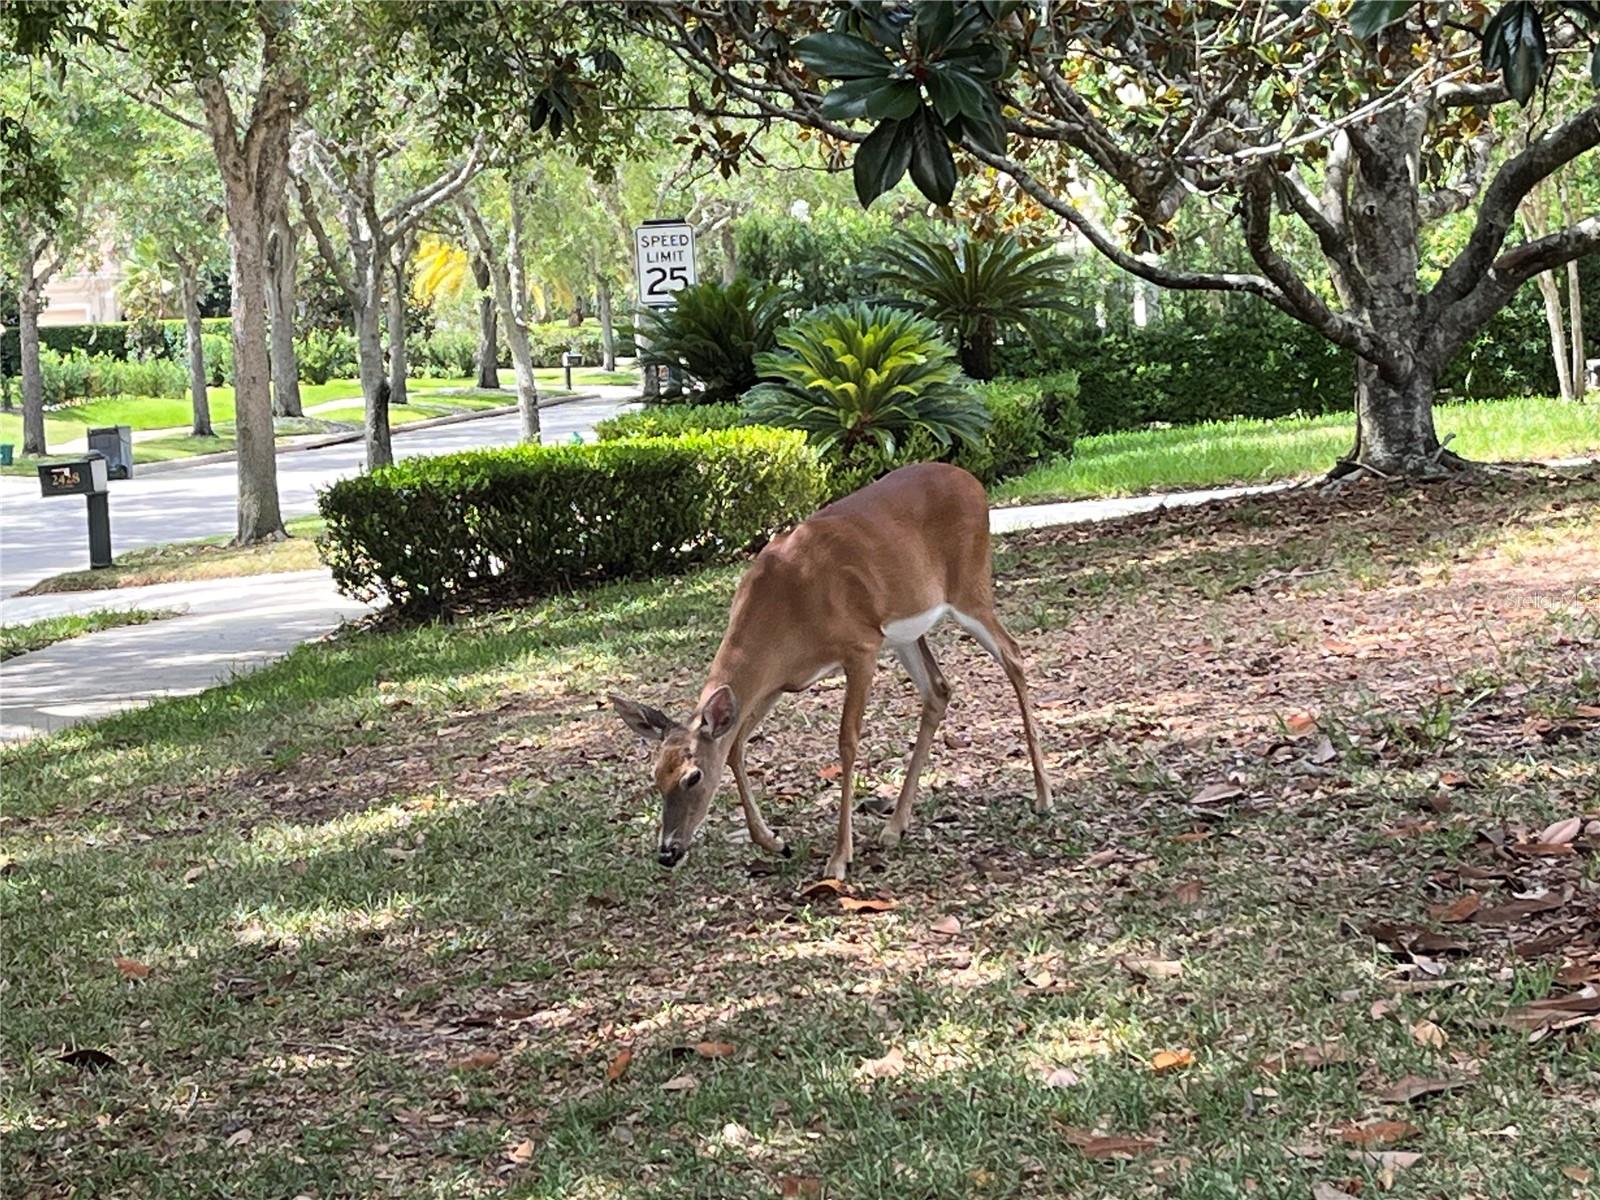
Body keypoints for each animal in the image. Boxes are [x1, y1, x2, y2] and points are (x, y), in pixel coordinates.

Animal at [611, 460, 1049, 883]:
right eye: (656, 776)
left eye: (693, 777)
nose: (667, 852)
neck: (785, 612)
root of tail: (971, 481)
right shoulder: (778, 681)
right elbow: (735, 746)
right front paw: (776, 842)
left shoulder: (860, 647)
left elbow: (846, 742)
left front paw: (839, 858)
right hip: (905, 631)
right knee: (939, 689)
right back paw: (895, 827)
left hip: (969, 588)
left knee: (1013, 655)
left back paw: (1044, 797)